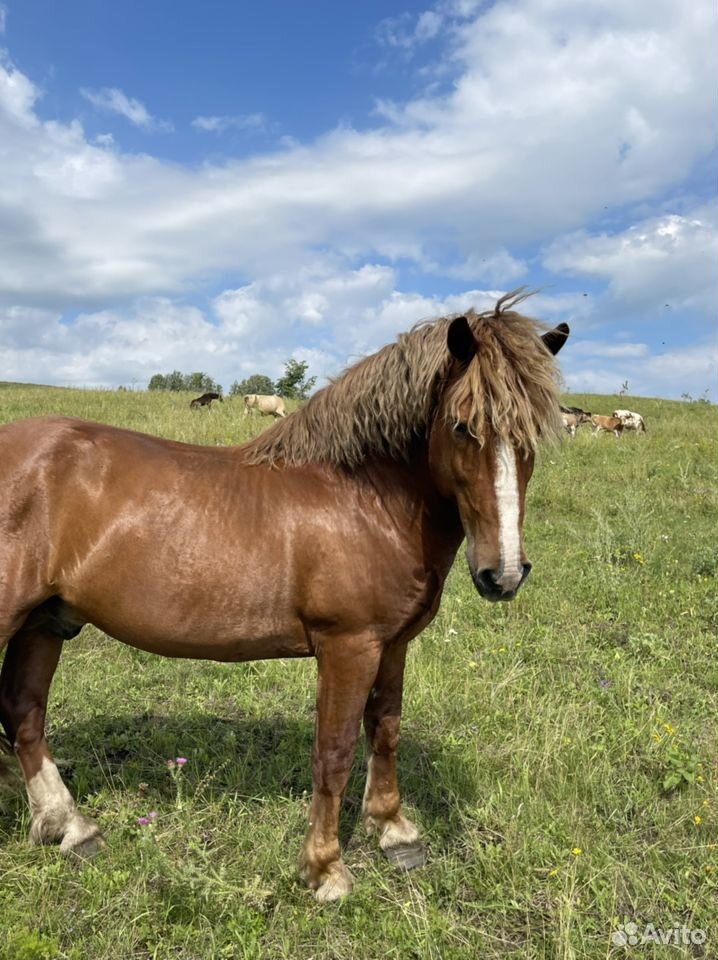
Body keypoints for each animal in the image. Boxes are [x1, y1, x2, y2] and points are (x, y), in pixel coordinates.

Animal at [1, 290, 572, 900]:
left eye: (536, 435)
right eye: (463, 427)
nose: (503, 574)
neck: (365, 499)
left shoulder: (392, 644)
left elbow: (385, 730)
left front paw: (394, 831)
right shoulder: (348, 646)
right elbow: (335, 752)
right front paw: (325, 868)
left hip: (45, 621)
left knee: (24, 712)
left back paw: (70, 827)